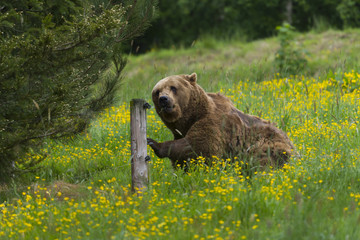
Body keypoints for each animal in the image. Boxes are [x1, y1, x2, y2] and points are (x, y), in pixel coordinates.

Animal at [147, 73, 296, 169]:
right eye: (157, 91)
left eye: (173, 87)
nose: (163, 99)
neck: (191, 117)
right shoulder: (180, 131)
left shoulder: (214, 124)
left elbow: (197, 146)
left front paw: (153, 143)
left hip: (268, 143)